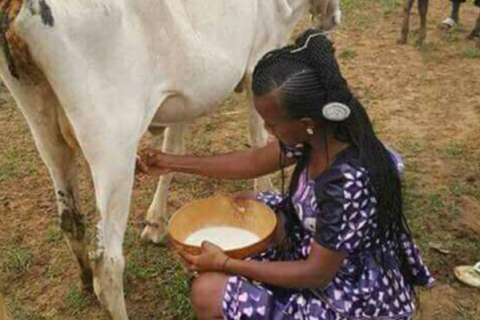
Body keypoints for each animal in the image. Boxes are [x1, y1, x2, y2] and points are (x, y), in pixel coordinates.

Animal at [0, 0, 338, 318]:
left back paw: (85, 283)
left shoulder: (182, 99)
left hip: (44, 129)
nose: (333, 19)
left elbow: (173, 150)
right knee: (108, 260)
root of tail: (21, 8)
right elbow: (259, 137)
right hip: (113, 145)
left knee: (70, 221)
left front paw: (156, 223)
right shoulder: (260, 61)